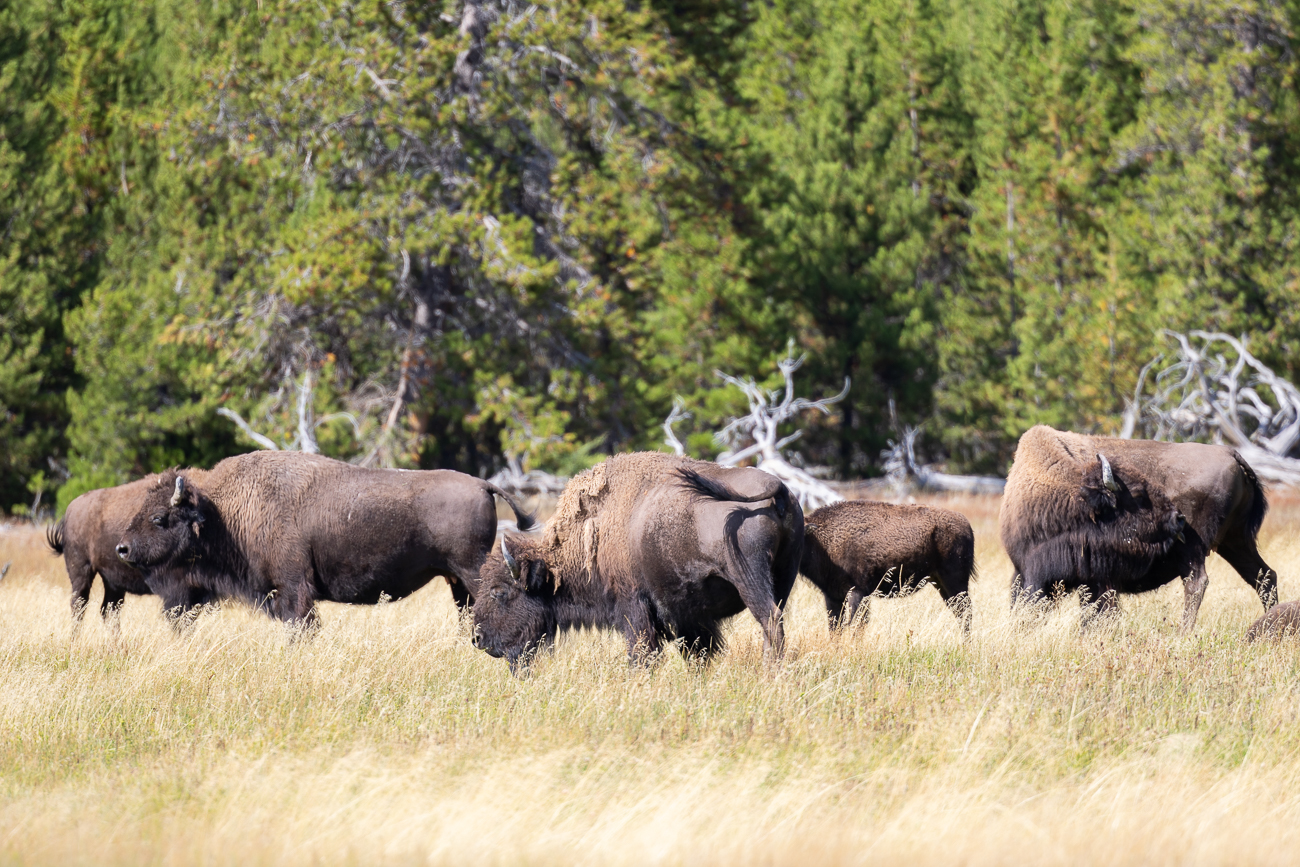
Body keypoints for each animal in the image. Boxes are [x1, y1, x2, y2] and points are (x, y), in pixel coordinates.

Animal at [114, 447, 535, 623]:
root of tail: (482, 484)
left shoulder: (294, 589)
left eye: (158, 517)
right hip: (455, 580)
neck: (226, 511)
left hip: (471, 570)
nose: (123, 548)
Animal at [473, 454, 800, 670]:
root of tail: (779, 488)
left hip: (750, 579)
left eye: (499, 592)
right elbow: (698, 652)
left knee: (770, 621)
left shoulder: (634, 605)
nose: (478, 639)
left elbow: (642, 653)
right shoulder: (689, 617)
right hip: (782, 580)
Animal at [800, 499, 977, 634]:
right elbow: (835, 628)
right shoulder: (833, 596)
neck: (820, 539)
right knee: (960, 612)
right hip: (941, 583)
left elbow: (856, 626)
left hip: (954, 581)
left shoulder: (858, 593)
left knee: (965, 612)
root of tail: (966, 524)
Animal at [998, 423, 1274, 626]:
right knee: (1264, 577)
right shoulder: (1026, 571)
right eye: (1139, 495)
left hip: (1195, 548)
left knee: (1197, 583)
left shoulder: (1090, 579)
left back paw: (1182, 633)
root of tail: (1230, 454)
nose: (1178, 518)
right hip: (1235, 541)